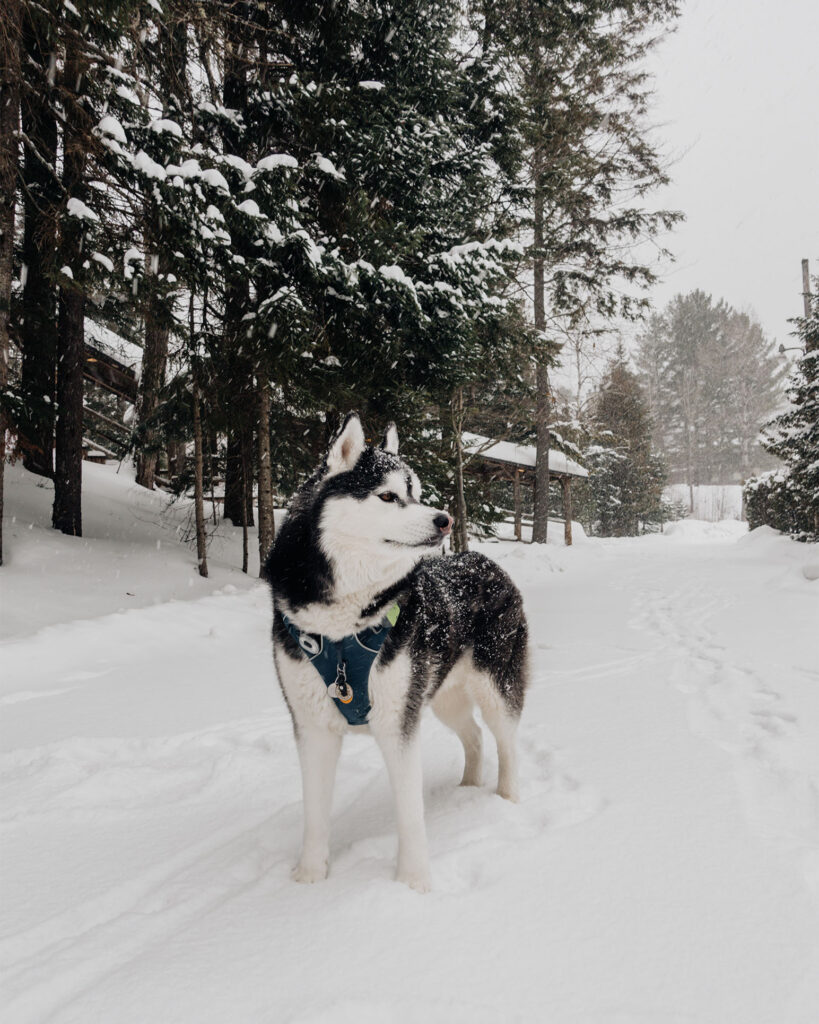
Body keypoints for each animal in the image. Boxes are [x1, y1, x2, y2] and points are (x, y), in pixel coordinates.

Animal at [266, 411, 528, 892]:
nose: (444, 519)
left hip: (495, 687)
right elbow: (315, 812)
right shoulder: (312, 726)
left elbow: (410, 814)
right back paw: (466, 787)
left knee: (507, 742)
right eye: (388, 496)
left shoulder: (396, 722)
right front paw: (310, 876)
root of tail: (483, 560)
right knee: (474, 735)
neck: (343, 626)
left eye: (417, 494)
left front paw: (413, 881)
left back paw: (506, 799)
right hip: (441, 695)